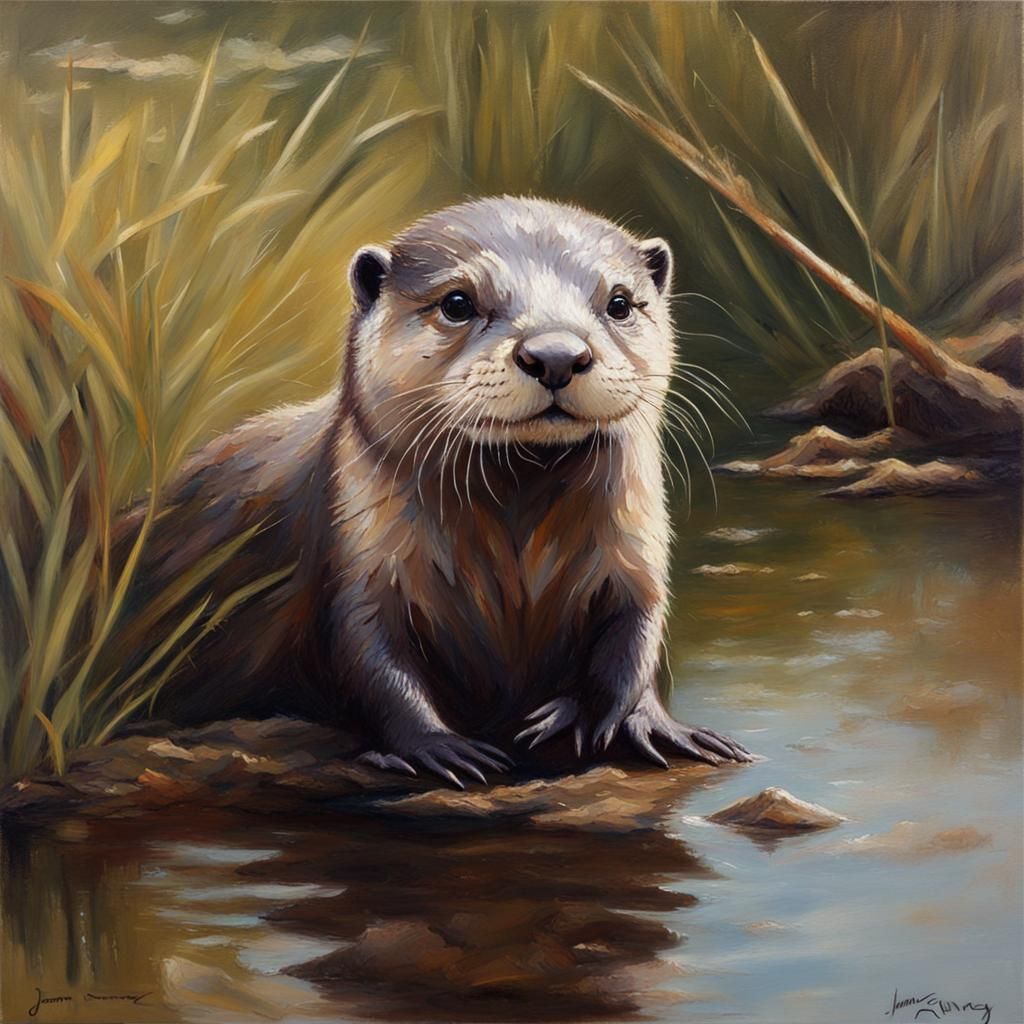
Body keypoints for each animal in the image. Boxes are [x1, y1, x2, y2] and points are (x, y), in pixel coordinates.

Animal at [123, 196, 752, 785]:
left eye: (619, 302)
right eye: (457, 303)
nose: (555, 354)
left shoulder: (636, 551)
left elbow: (634, 639)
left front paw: (634, 720)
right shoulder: (356, 555)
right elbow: (370, 658)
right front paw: (437, 746)